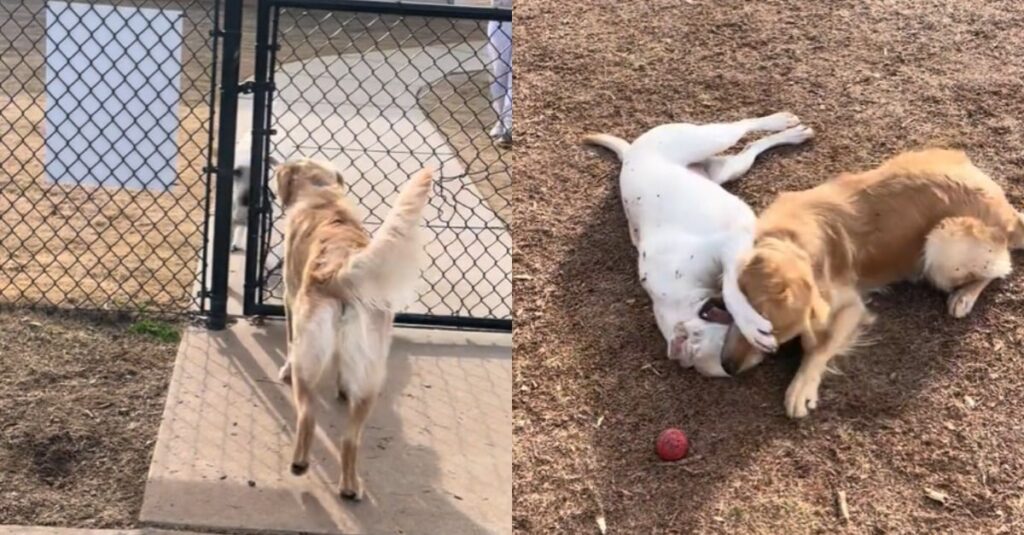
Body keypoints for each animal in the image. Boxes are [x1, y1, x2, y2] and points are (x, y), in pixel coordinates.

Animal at [585, 112, 815, 375]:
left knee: (742, 125)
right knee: (751, 147)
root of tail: (630, 151)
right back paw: (794, 134)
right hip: (727, 170)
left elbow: (730, 290)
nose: (731, 367)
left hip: (706, 139)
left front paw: (750, 324)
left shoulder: (728, 243)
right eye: (725, 366)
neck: (683, 299)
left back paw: (781, 121)